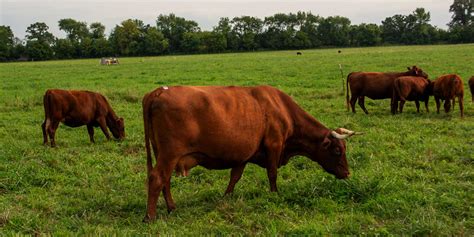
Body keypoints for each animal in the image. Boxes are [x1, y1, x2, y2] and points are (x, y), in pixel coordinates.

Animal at [143, 85, 362, 222]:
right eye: (337, 150)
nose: (347, 173)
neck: (281, 108)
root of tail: (158, 92)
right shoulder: (274, 145)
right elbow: (272, 174)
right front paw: (274, 194)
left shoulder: (244, 154)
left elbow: (235, 177)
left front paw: (226, 197)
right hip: (169, 154)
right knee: (157, 178)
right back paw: (150, 216)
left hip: (163, 153)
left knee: (165, 180)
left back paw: (171, 207)